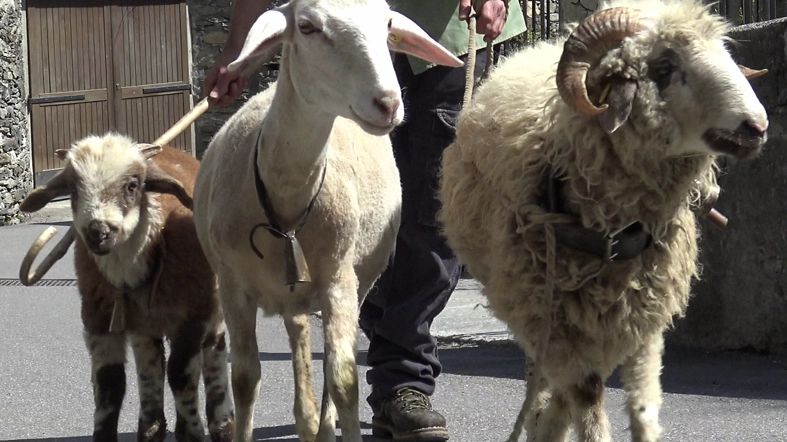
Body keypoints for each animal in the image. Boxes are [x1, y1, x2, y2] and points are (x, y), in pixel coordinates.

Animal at [20, 134, 235, 442]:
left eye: (133, 185)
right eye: (73, 188)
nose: (97, 233)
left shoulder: (192, 317)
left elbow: (181, 375)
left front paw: (193, 433)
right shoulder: (98, 317)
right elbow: (109, 383)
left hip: (212, 306)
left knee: (213, 354)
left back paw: (222, 425)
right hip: (142, 325)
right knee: (152, 369)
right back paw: (151, 429)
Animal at [191, 0, 462, 442]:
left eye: (388, 24)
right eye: (307, 26)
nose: (389, 103)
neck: (284, 196)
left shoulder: (338, 278)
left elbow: (343, 379)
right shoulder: (231, 285)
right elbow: (245, 379)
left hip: (357, 281)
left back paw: (323, 425)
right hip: (292, 293)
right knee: (299, 336)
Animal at [438, 1, 768, 440]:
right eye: (663, 67)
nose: (756, 127)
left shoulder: (646, 313)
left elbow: (644, 406)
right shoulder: (559, 324)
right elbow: (590, 397)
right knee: (549, 381)